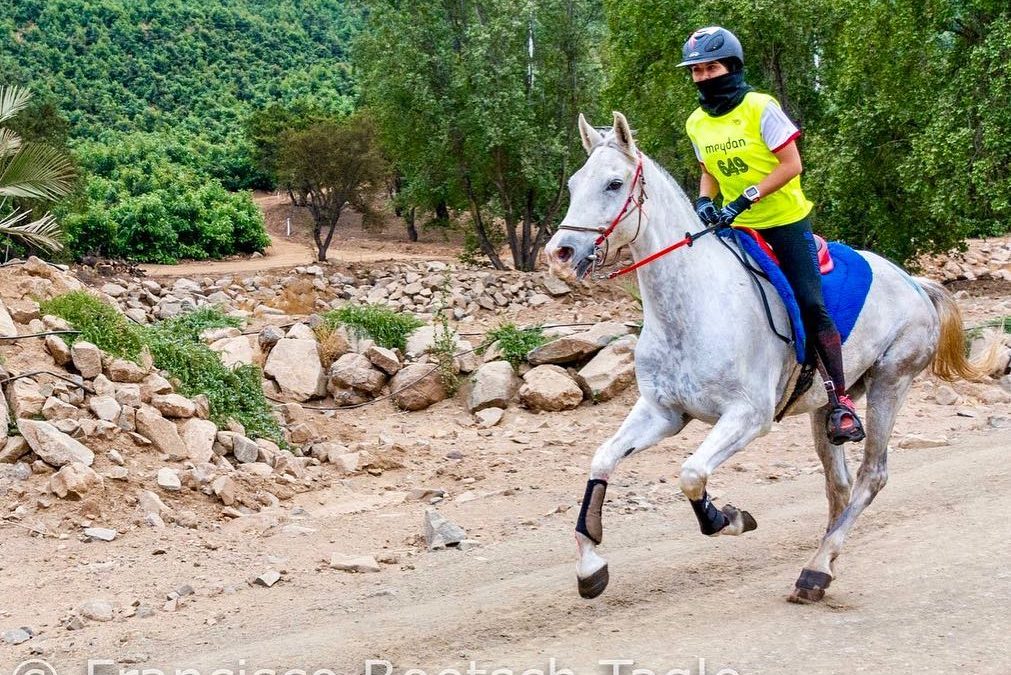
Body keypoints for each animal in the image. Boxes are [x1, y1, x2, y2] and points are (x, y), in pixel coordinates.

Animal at [549, 113, 990, 602]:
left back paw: (815, 568)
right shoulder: (663, 412)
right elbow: (602, 459)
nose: (560, 253)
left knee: (872, 475)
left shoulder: (748, 416)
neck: (692, 307)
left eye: (613, 183)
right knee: (838, 484)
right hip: (828, 405)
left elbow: (691, 474)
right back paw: (824, 562)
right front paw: (590, 565)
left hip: (890, 383)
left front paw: (730, 518)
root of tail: (914, 282)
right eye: (574, 184)